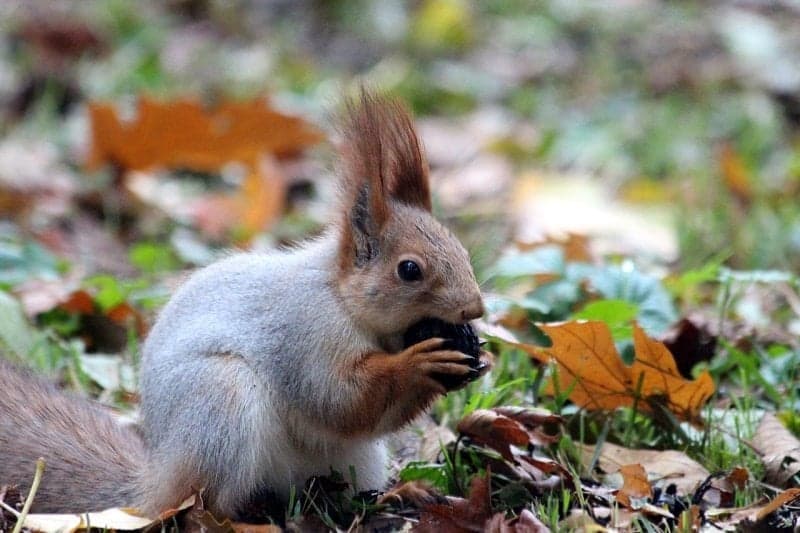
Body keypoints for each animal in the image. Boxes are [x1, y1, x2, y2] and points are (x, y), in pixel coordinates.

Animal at [0, 91, 488, 520]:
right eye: (409, 270)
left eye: (462, 249)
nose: (475, 310)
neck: (343, 301)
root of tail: (155, 485)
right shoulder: (305, 333)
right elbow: (338, 397)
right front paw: (420, 363)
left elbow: (365, 414)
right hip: (220, 405)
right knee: (206, 502)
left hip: (351, 459)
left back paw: (394, 495)